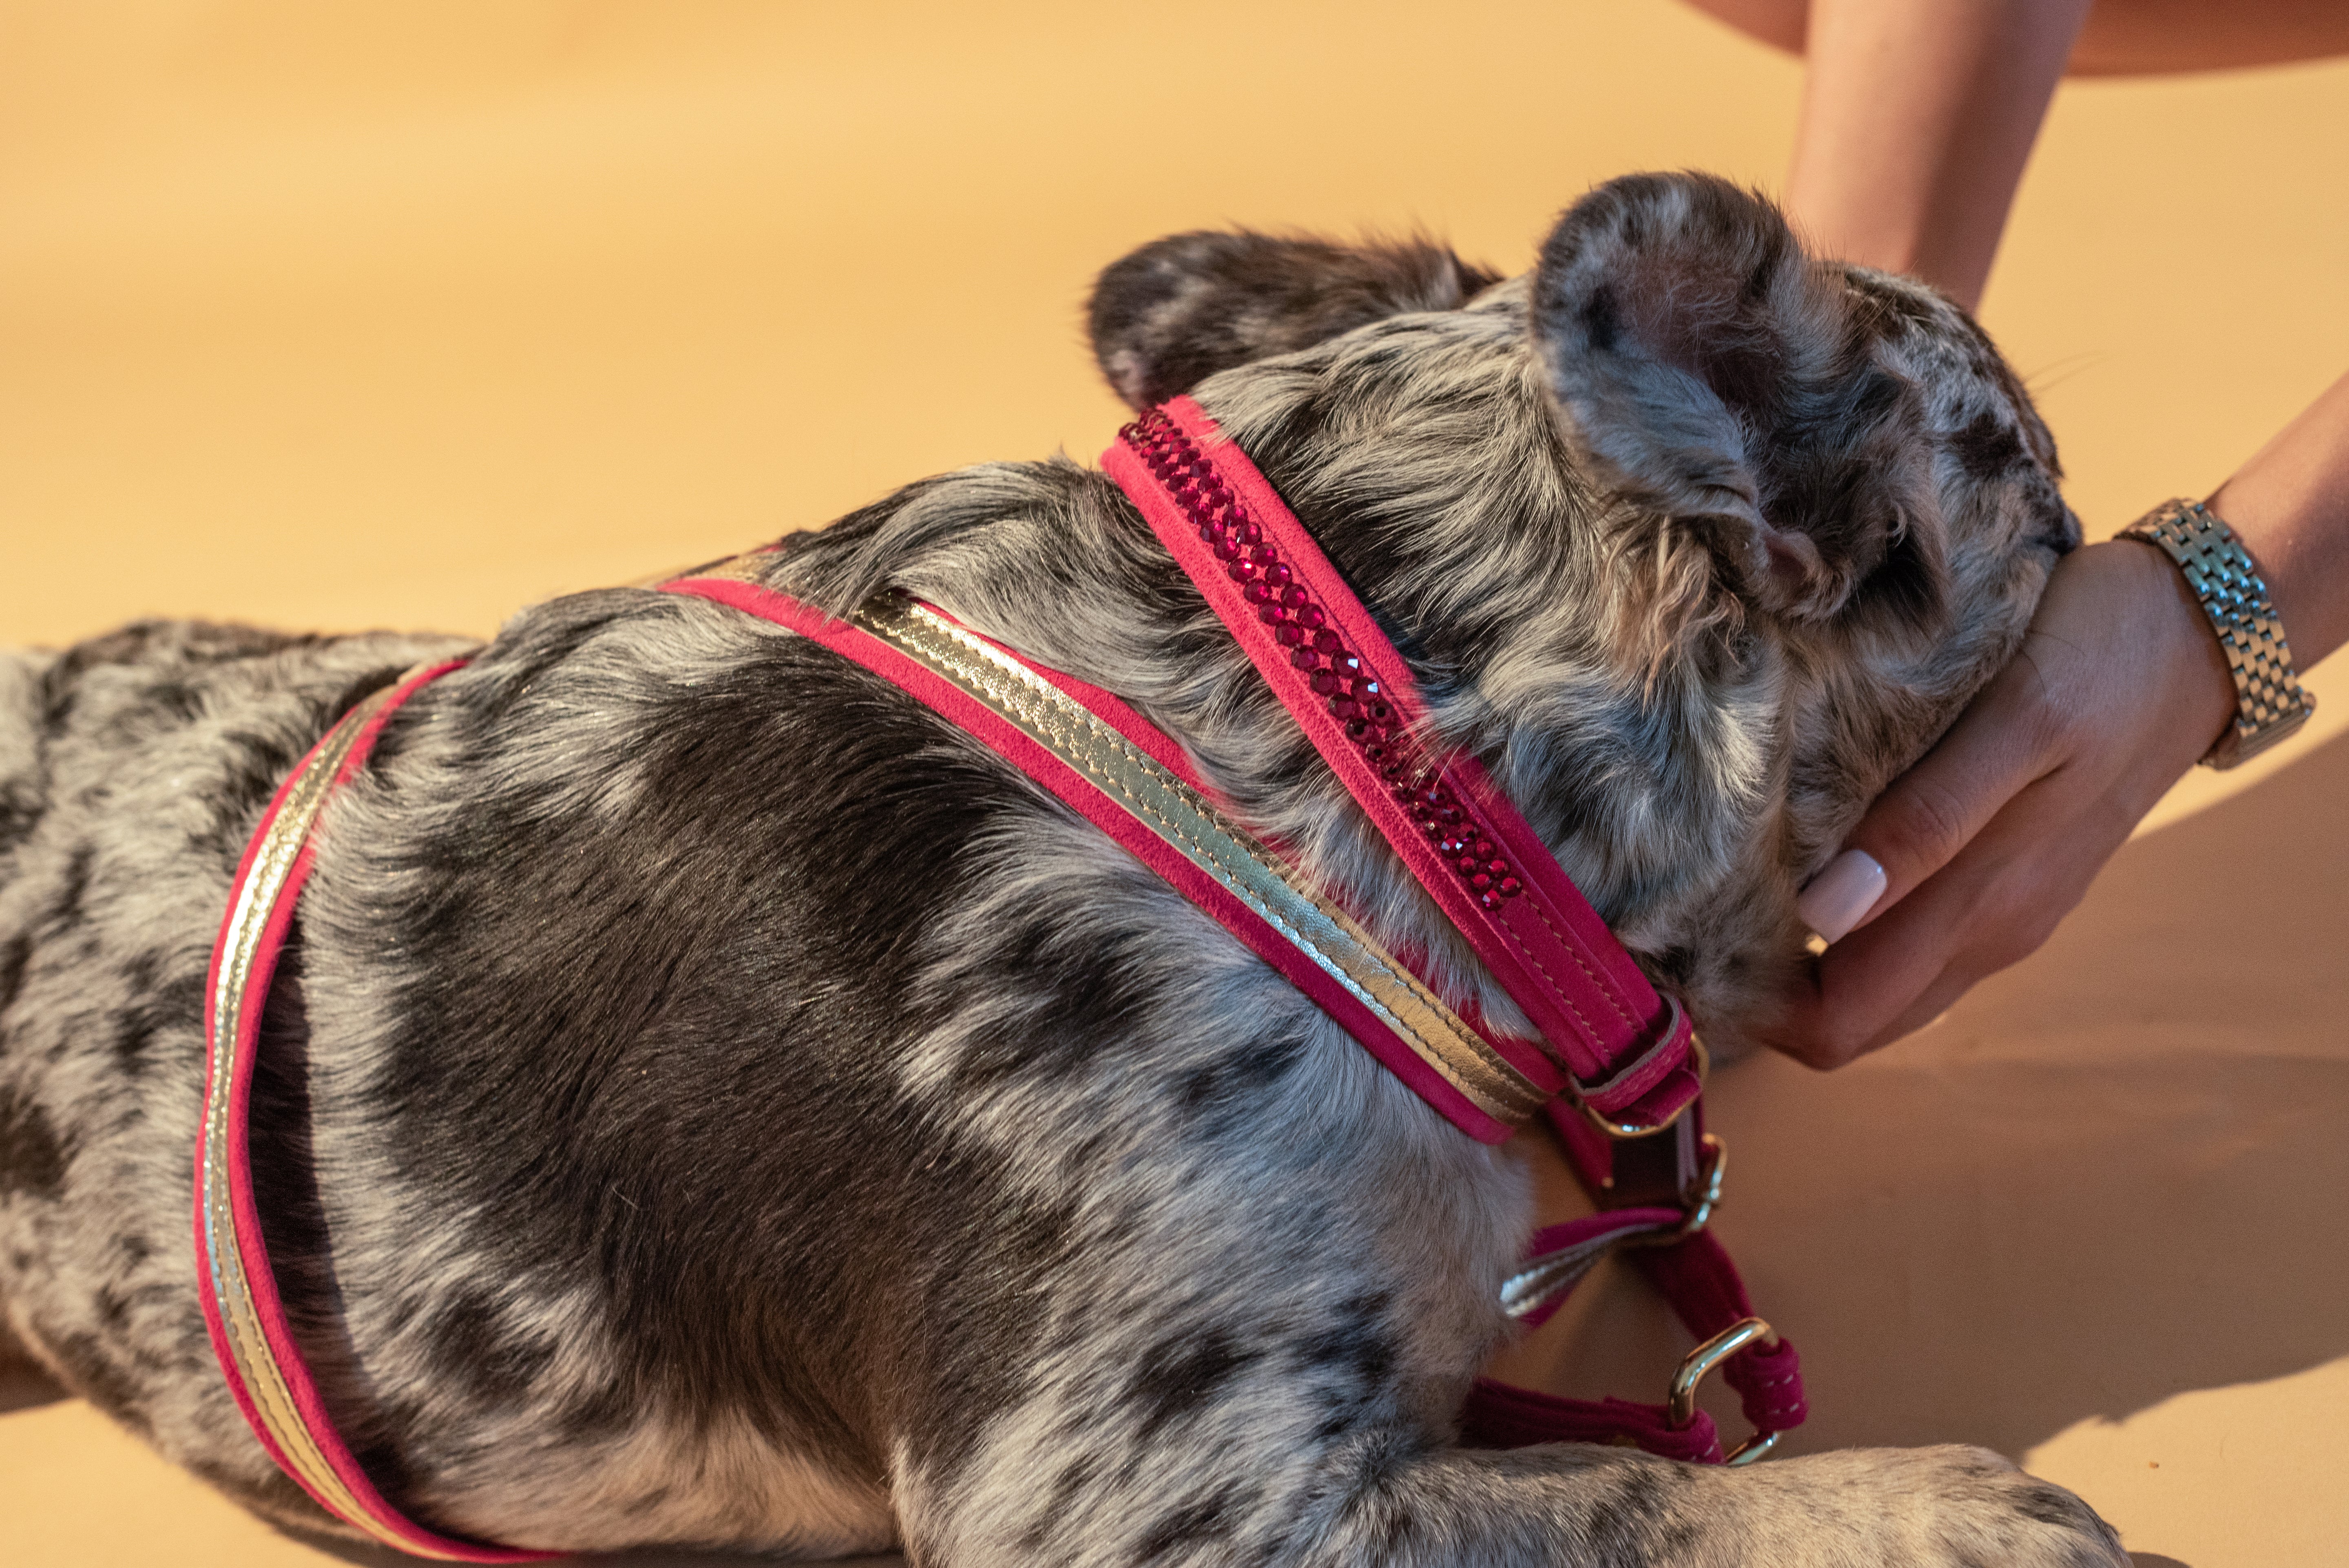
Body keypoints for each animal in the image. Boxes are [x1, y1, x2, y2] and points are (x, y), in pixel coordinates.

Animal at [0, 175, 2123, 1568]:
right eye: (2046, 511)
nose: (2110, 554)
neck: (1324, 771)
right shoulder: (1154, 1500)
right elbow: (1636, 1498)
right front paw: (1941, 1507)